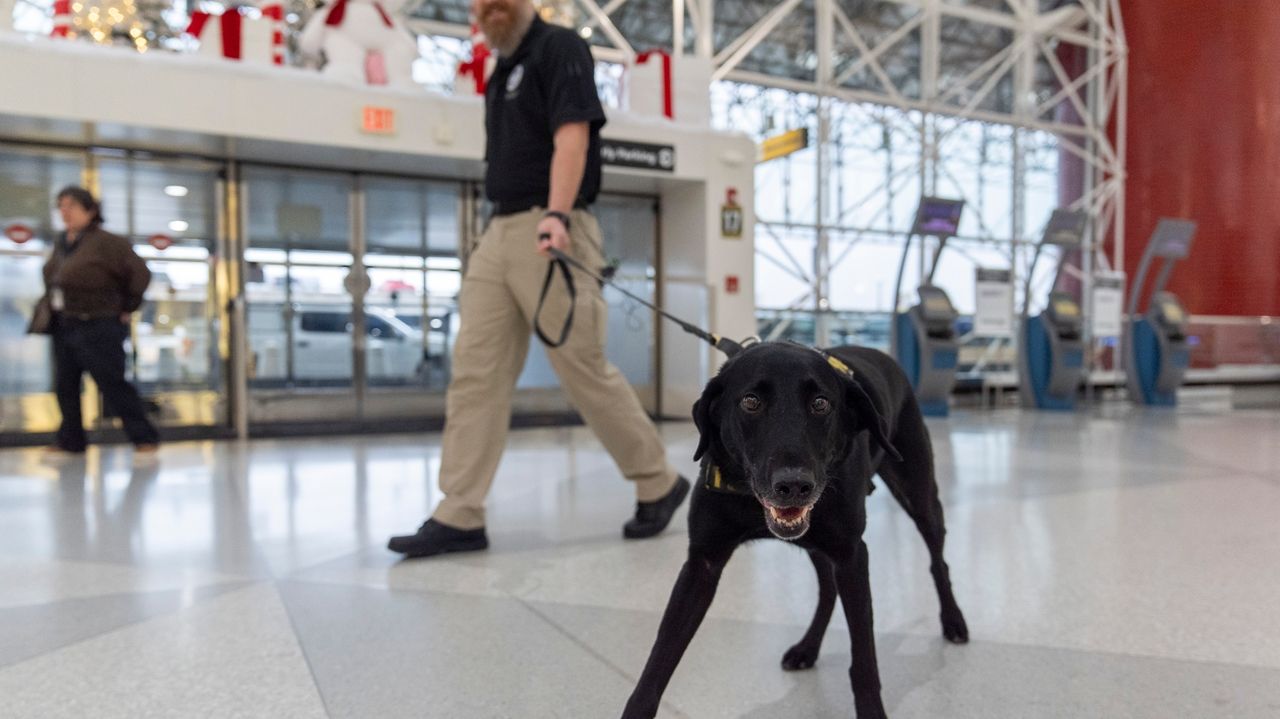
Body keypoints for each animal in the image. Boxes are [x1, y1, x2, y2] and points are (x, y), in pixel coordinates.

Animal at [622, 340, 967, 716]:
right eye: (751, 402)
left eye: (820, 403)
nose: (794, 485)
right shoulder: (702, 563)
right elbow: (661, 656)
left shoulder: (851, 555)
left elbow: (864, 658)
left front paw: (872, 710)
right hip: (816, 544)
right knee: (828, 590)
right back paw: (808, 648)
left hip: (919, 497)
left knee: (938, 561)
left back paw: (953, 620)